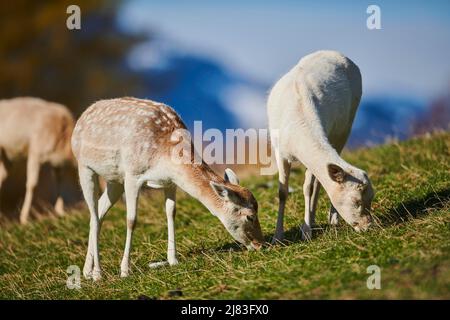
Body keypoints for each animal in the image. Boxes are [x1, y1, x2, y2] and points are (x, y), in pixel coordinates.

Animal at [0, 96, 75, 224]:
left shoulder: (56, 162)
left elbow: (58, 179)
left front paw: (60, 211)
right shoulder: (35, 152)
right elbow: (32, 184)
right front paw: (24, 219)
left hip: (6, 158)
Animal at [70, 97, 264, 280]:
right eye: (250, 216)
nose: (260, 244)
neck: (164, 157)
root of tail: (82, 117)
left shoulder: (170, 182)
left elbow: (171, 212)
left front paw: (173, 260)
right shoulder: (132, 175)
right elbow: (131, 220)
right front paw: (125, 270)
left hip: (114, 180)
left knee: (98, 213)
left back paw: (87, 271)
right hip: (84, 167)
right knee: (94, 214)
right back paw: (97, 273)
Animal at [268, 50, 376, 241]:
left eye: (371, 198)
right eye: (356, 201)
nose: (368, 227)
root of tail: (335, 52)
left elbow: (308, 188)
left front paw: (306, 231)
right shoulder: (280, 152)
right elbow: (282, 191)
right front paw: (277, 237)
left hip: (345, 127)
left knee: (319, 181)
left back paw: (331, 218)